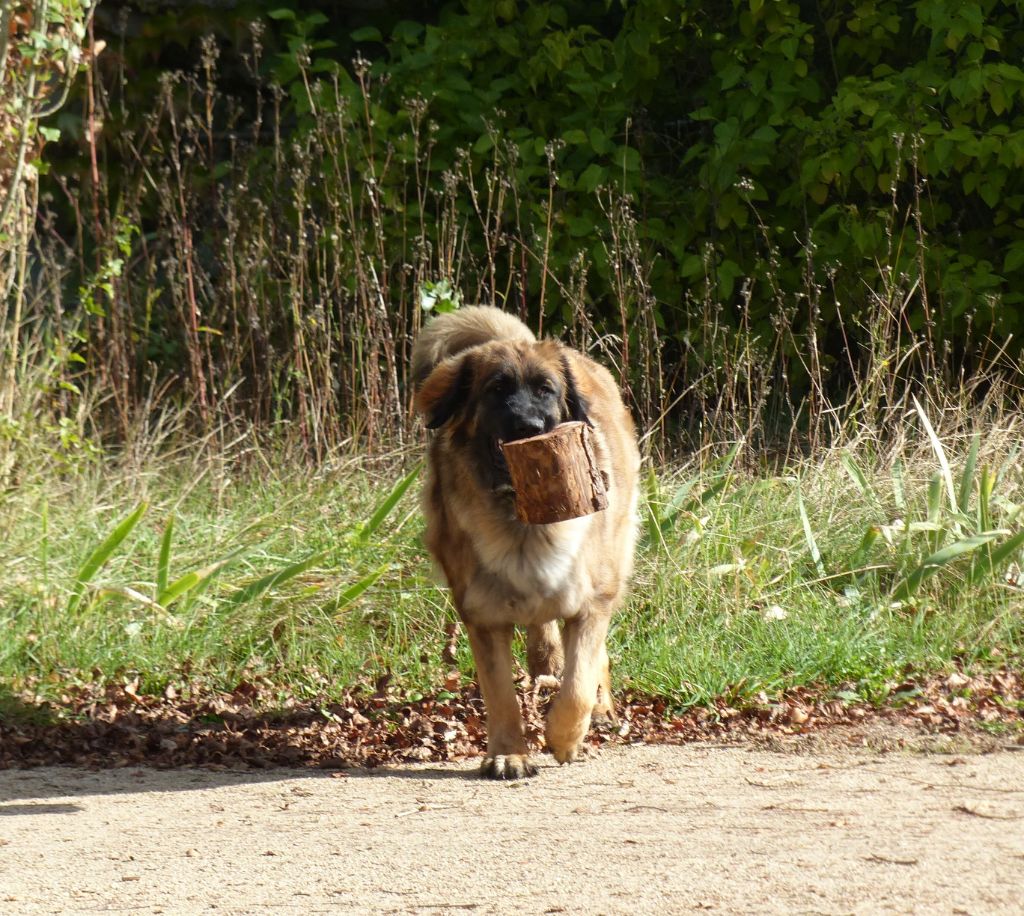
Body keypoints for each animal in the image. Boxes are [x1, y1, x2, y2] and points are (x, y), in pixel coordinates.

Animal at [409, 307, 634, 781]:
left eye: (546, 390)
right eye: (497, 389)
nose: (529, 427)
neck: (524, 519)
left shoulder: (592, 601)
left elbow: (578, 685)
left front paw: (565, 738)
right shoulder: (482, 613)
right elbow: (499, 695)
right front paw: (508, 753)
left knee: (590, 660)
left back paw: (599, 707)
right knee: (542, 639)